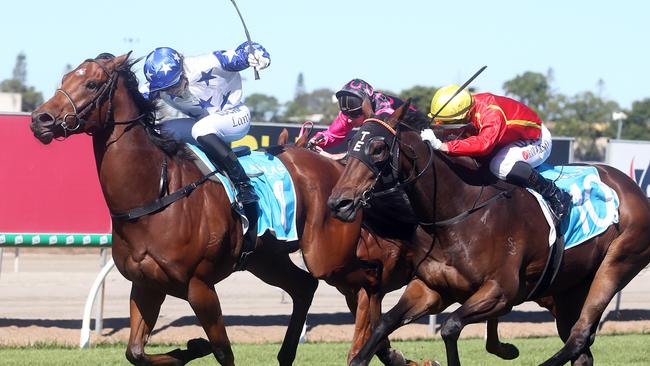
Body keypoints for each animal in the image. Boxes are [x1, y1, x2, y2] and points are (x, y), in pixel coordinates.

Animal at [30, 53, 436, 364]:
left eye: (92, 84)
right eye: (64, 78)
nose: (40, 120)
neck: (155, 196)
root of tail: (338, 167)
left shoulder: (200, 285)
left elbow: (224, 351)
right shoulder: (146, 284)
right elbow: (136, 352)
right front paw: (192, 346)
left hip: (327, 254)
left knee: (369, 281)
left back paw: (372, 344)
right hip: (266, 258)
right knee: (307, 286)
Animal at [330, 101, 648, 366]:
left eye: (378, 148)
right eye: (351, 145)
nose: (338, 203)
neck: (458, 212)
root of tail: (632, 188)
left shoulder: (500, 291)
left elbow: (450, 327)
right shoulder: (431, 288)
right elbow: (383, 325)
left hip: (616, 264)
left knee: (579, 336)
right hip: (570, 288)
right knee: (581, 349)